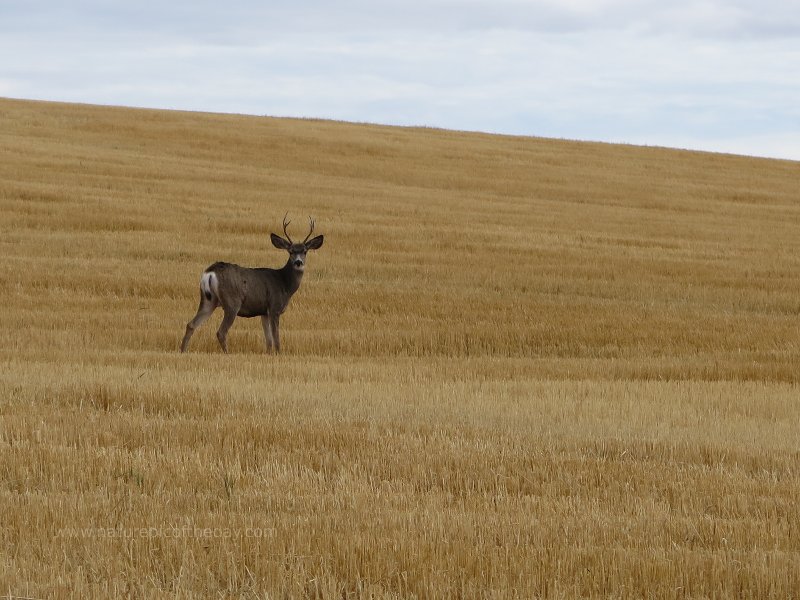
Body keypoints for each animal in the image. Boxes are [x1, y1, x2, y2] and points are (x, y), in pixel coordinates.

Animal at [180, 216, 324, 354]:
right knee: (221, 332)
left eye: (305, 251)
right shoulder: (274, 307)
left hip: (208, 300)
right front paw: (279, 354)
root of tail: (210, 272)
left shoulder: (264, 312)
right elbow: (276, 339)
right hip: (232, 302)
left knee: (191, 324)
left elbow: (268, 341)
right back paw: (227, 353)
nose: (298, 262)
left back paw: (183, 351)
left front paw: (269, 354)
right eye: (291, 251)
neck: (284, 284)